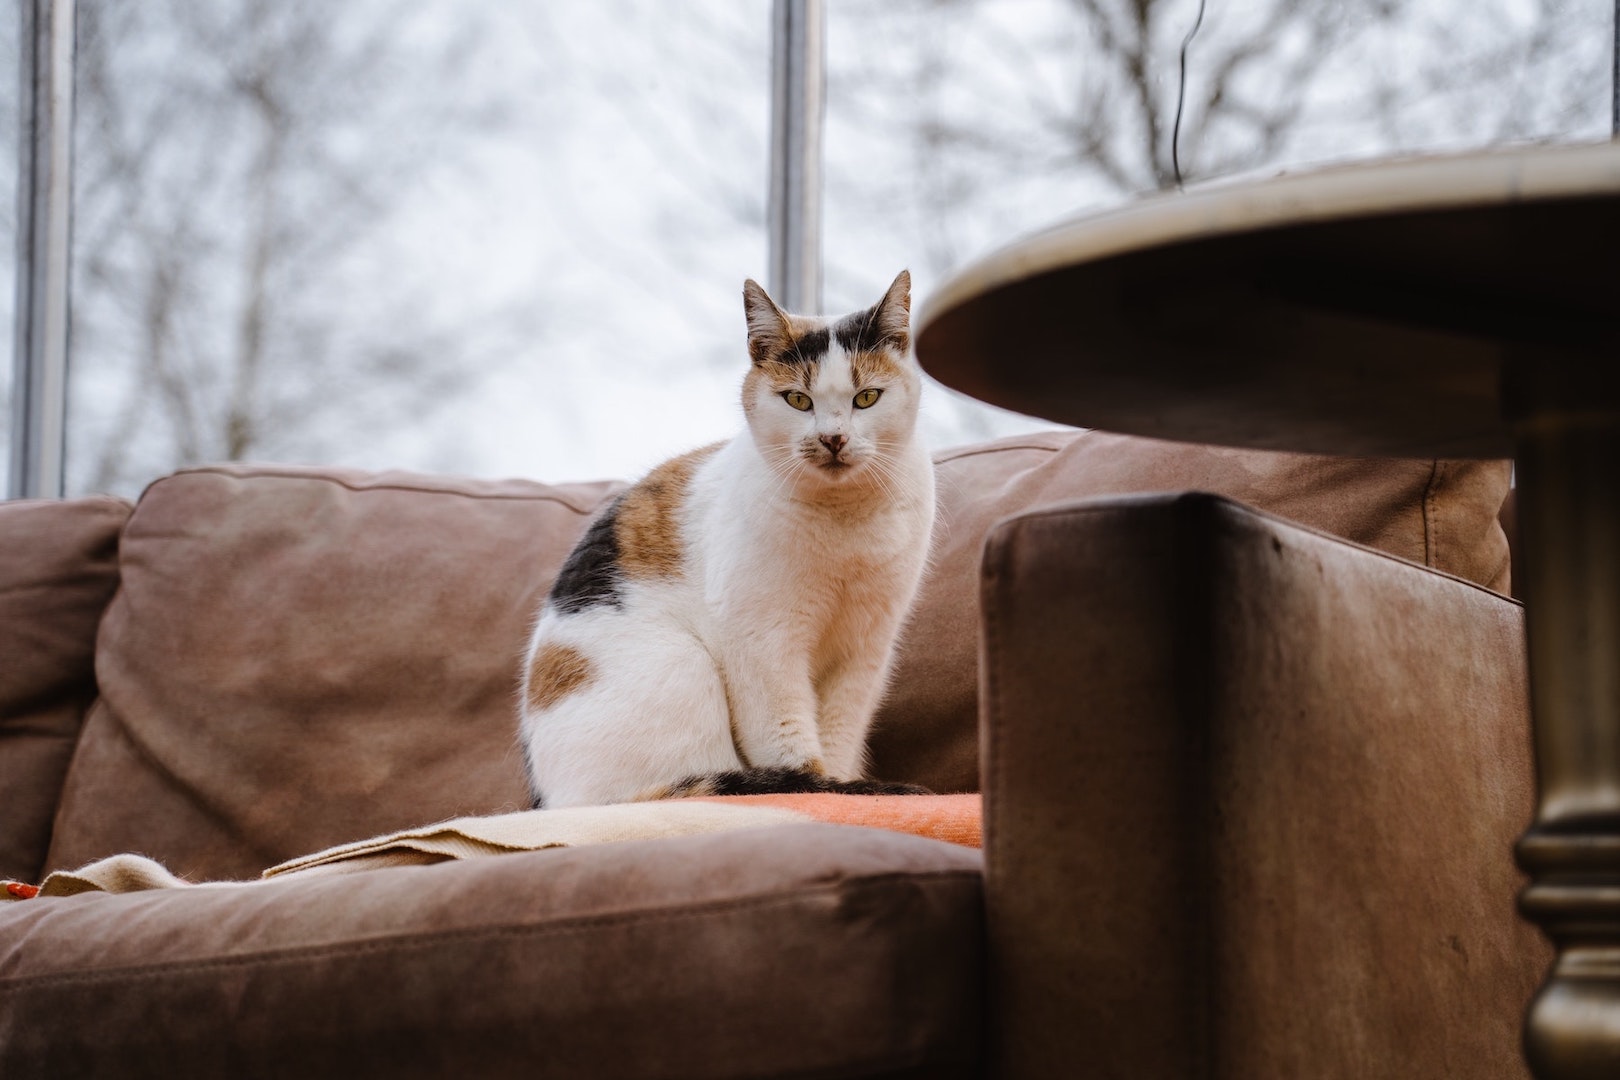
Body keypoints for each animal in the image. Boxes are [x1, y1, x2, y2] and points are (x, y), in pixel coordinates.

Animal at [518, 275, 939, 806]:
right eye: (797, 400)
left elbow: (841, 733)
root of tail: (554, 802)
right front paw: (821, 786)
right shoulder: (761, 642)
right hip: (683, 665)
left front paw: (843, 784)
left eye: (867, 398)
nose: (833, 439)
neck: (845, 518)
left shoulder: (866, 646)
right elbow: (791, 748)